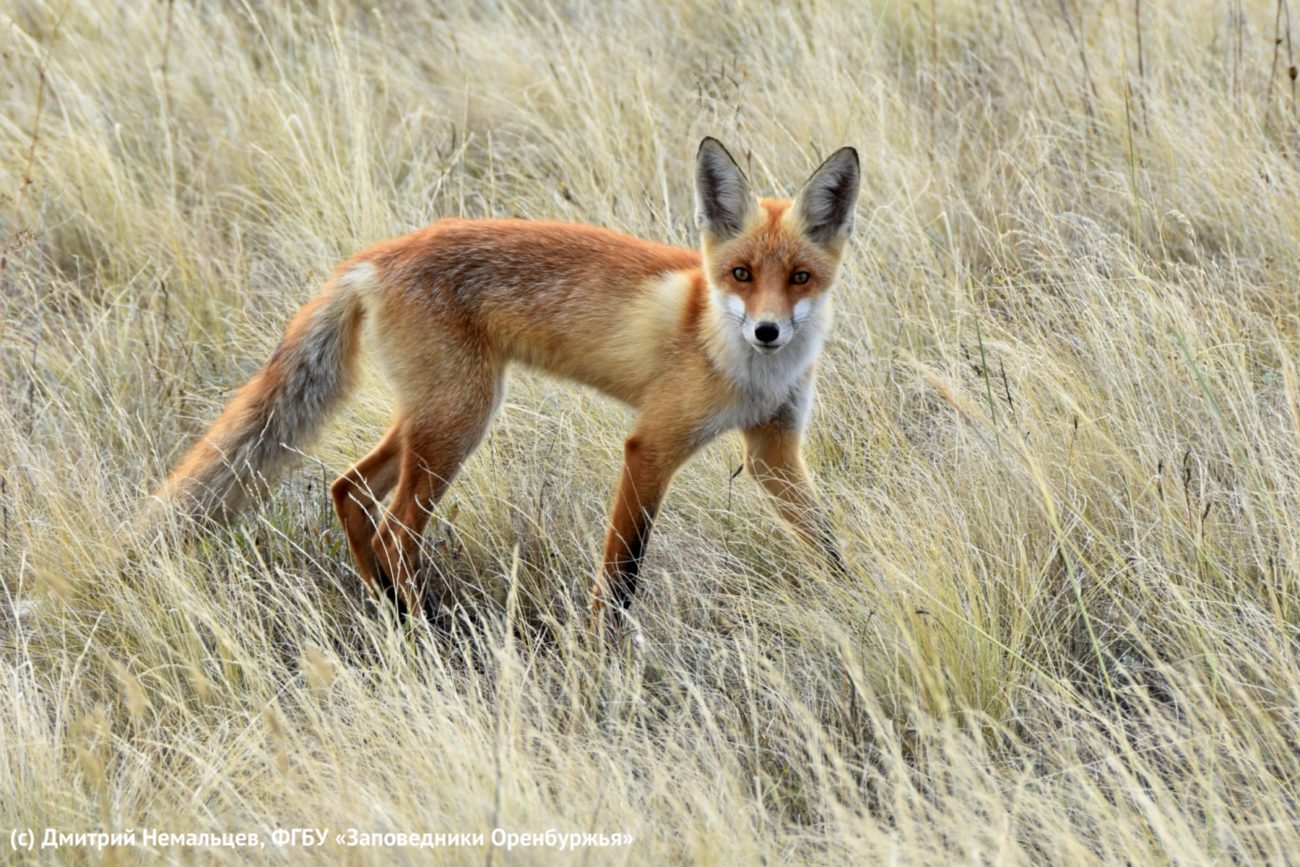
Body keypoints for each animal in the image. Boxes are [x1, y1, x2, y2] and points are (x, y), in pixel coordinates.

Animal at [157, 141, 857, 631]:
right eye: (741, 274)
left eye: (799, 277)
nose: (767, 331)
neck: (748, 371)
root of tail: (377, 255)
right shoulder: (651, 447)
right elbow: (622, 573)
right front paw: (603, 656)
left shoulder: (774, 452)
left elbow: (826, 547)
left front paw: (853, 612)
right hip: (460, 420)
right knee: (395, 530)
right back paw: (422, 632)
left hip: (432, 416)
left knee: (348, 489)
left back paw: (386, 611)